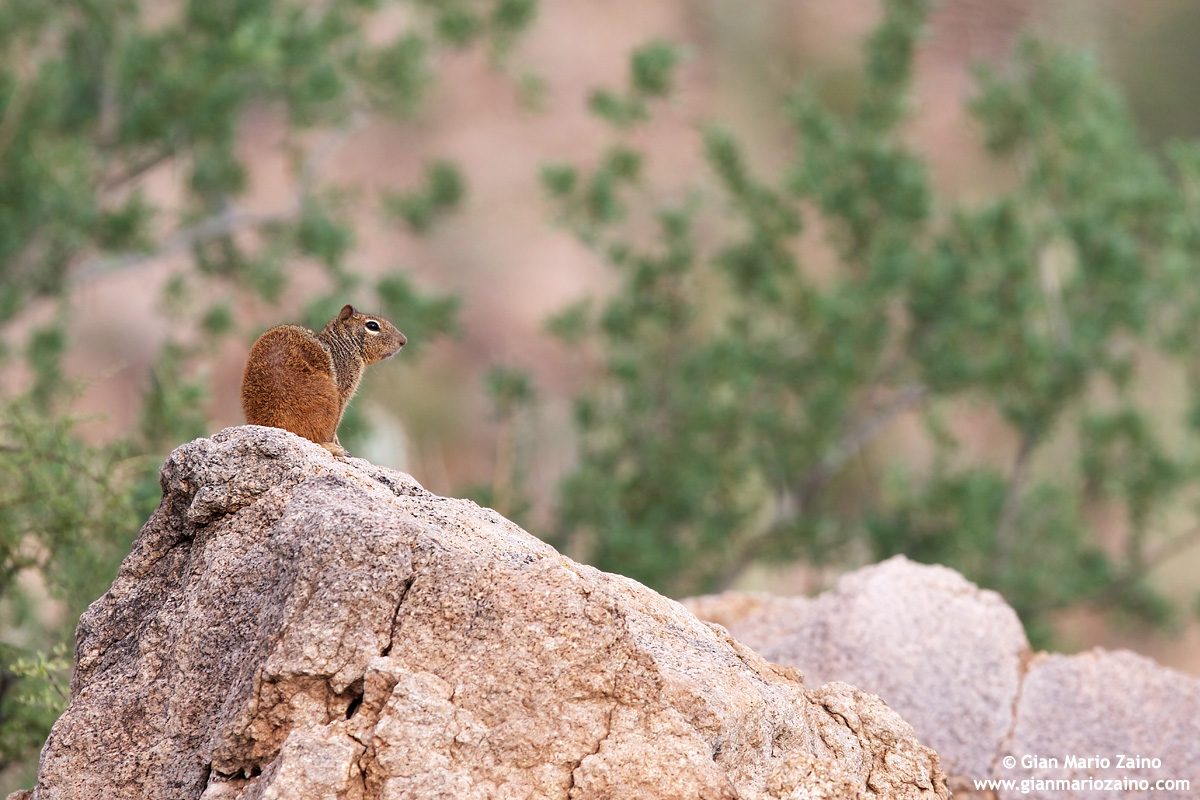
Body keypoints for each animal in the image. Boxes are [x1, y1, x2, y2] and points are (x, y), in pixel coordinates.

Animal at [240, 304, 406, 456]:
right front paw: (336, 443)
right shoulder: (343, 393)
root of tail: (275, 423)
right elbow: (335, 425)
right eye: (372, 325)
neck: (342, 345)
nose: (403, 340)